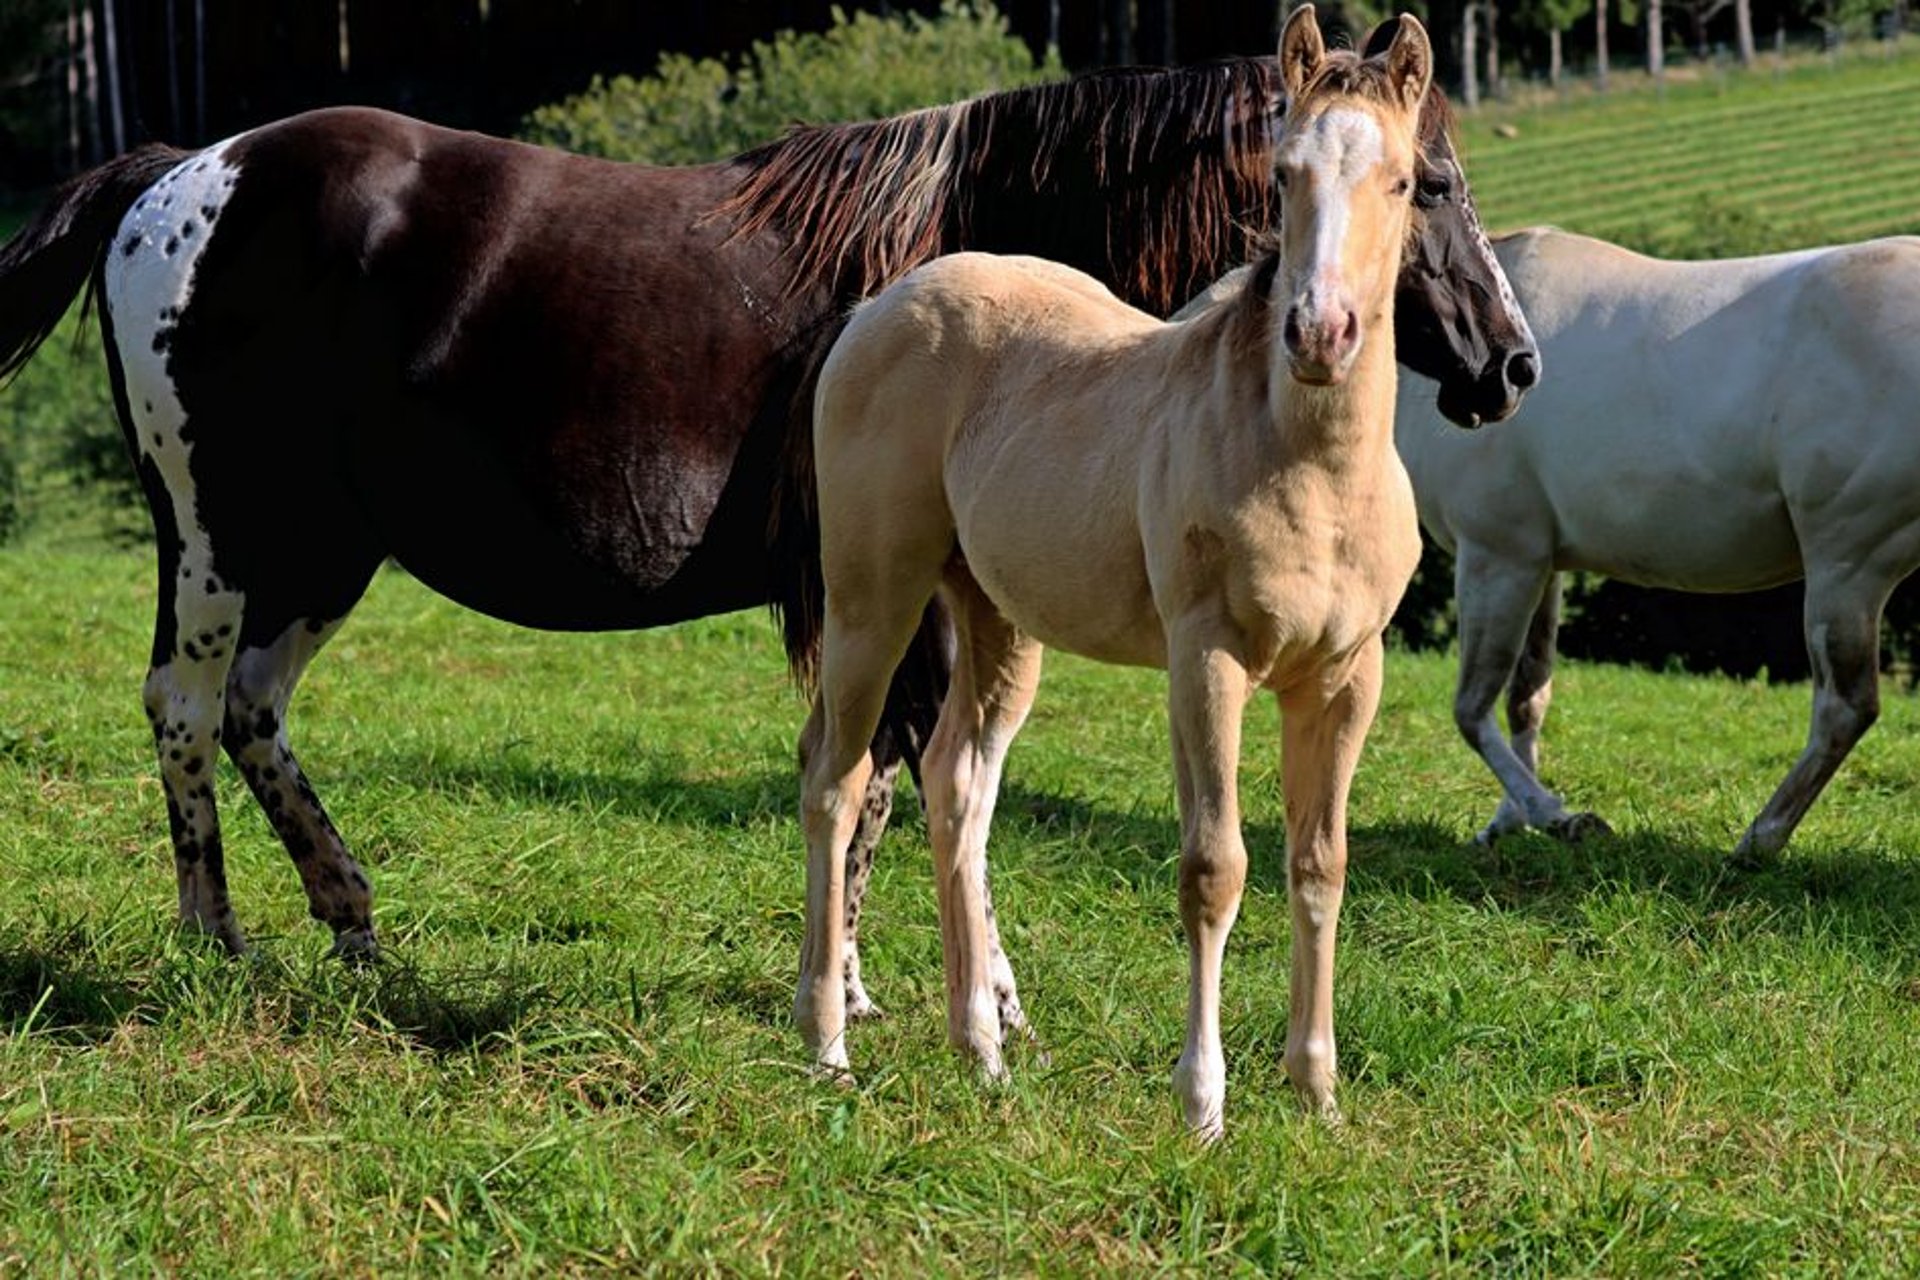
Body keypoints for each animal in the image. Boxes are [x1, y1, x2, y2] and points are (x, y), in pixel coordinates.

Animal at [0, 48, 1534, 995]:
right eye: (1435, 185)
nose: (1513, 364)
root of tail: (177, 175)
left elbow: (908, 784)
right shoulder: (886, 602)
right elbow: (888, 782)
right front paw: (885, 985)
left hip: (325, 551)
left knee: (250, 709)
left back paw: (353, 921)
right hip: (220, 537)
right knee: (185, 706)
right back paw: (216, 937)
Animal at [795, 6, 1434, 1137]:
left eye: (1404, 181)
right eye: (1282, 174)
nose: (1319, 334)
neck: (1308, 468)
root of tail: (880, 305)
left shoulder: (1345, 677)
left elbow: (1320, 863)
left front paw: (1316, 1092)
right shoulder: (1207, 662)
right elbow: (1215, 867)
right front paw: (1203, 1104)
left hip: (994, 617)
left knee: (956, 781)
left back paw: (982, 1053)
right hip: (874, 599)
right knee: (839, 779)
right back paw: (829, 1045)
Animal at [1393, 226, 1920, 856]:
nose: (1498, 381)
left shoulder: (1495, 557)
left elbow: (1472, 708)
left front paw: (1559, 817)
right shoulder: (1542, 563)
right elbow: (1527, 698)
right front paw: (1508, 822)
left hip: (1847, 568)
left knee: (1845, 707)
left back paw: (1760, 840)